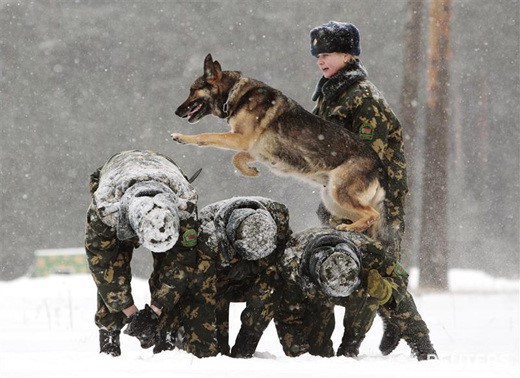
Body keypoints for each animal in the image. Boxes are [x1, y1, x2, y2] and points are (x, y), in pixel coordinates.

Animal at [173, 53, 388, 242]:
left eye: (192, 90)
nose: (176, 111)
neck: (234, 93)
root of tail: (378, 166)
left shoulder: (241, 139)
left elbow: (206, 137)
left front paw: (182, 137)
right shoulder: (255, 149)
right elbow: (238, 158)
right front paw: (250, 172)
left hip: (340, 194)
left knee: (373, 215)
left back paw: (351, 228)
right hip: (333, 202)